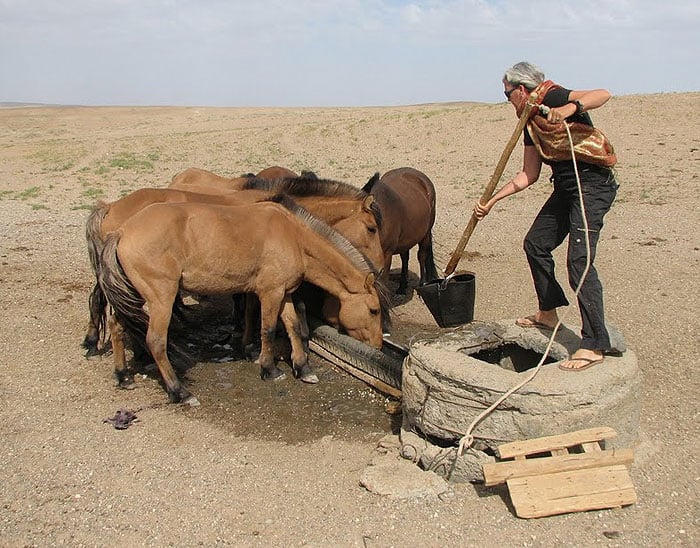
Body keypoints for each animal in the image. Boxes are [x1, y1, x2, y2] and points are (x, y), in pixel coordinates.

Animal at [97, 196, 390, 405]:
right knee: (156, 341)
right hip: (162, 299)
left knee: (117, 327)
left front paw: (303, 368)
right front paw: (269, 369)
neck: (293, 236)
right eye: (374, 310)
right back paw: (179, 392)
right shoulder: (270, 293)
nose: (378, 345)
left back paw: (123, 375)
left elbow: (294, 327)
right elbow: (268, 330)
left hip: (133, 299)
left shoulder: (284, 293)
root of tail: (121, 231)